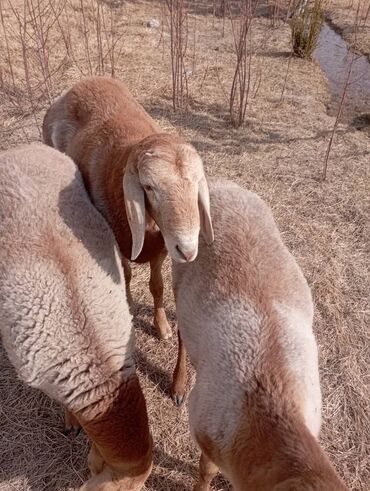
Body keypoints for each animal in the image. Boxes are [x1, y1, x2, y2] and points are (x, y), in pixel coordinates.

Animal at [41, 77, 212, 342]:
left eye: (196, 183)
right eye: (149, 187)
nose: (187, 250)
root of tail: (80, 84)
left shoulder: (162, 246)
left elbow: (157, 285)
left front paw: (162, 327)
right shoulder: (117, 242)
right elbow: (128, 275)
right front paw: (130, 309)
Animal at [169, 180, 348, 491]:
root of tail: (222, 183)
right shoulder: (207, 427)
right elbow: (206, 470)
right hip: (180, 276)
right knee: (182, 334)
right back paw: (178, 386)